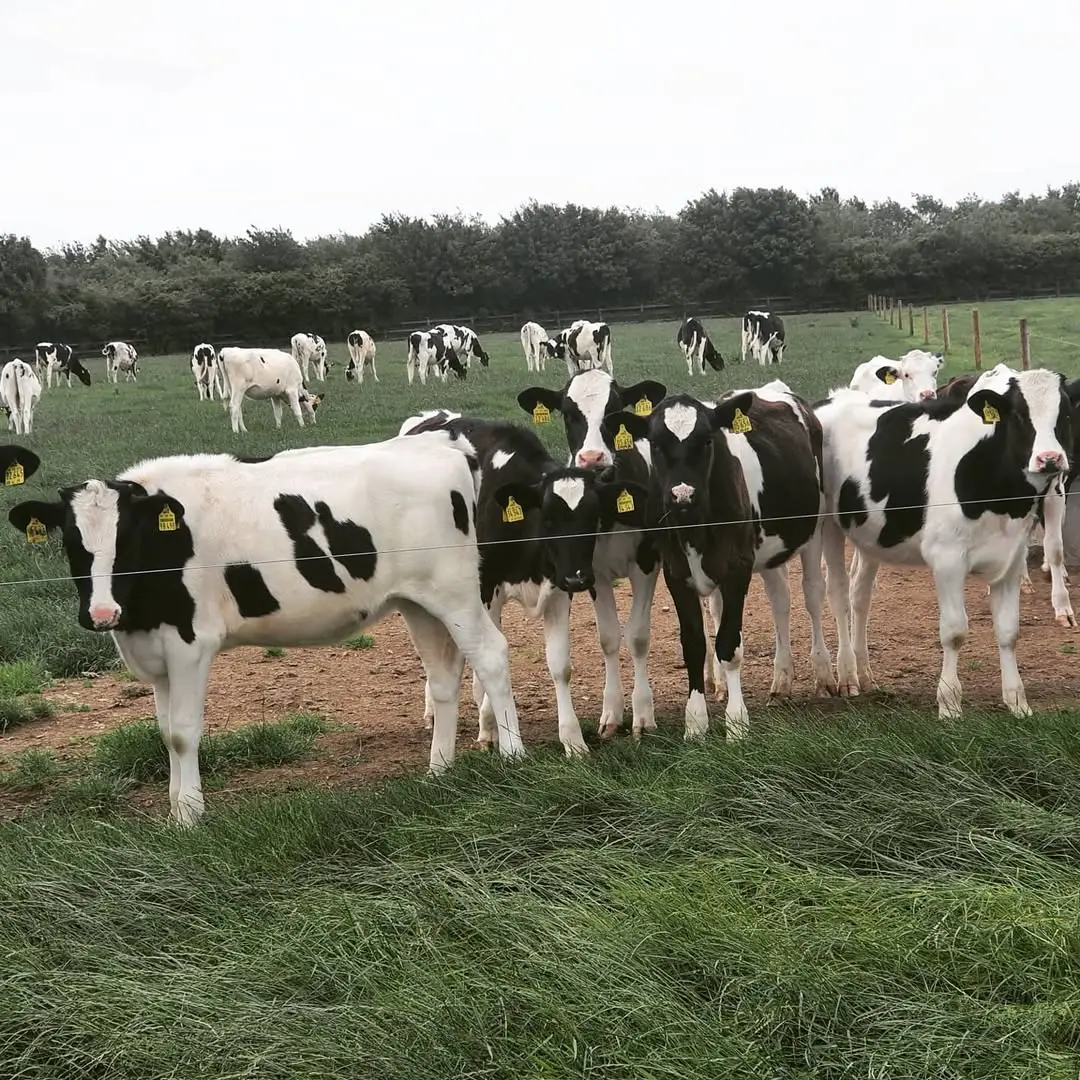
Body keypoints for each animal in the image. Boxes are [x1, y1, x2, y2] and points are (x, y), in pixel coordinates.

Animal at [6, 437, 527, 824]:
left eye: (128, 538)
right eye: (72, 541)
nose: (101, 612)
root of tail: (440, 445)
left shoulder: (189, 644)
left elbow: (183, 732)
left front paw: (189, 815)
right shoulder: (155, 653)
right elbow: (164, 731)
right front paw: (175, 807)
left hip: (456, 592)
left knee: (491, 655)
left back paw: (513, 756)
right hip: (416, 602)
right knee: (442, 678)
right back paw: (438, 771)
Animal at [399, 408, 652, 754]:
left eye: (593, 518)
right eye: (548, 518)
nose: (579, 578)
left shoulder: (558, 589)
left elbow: (560, 665)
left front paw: (573, 740)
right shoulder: (486, 591)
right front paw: (490, 728)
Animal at [608, 380, 834, 734]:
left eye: (707, 440)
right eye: (655, 444)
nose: (682, 495)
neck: (693, 528)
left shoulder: (737, 569)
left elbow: (728, 644)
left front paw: (736, 723)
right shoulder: (676, 573)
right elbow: (693, 644)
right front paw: (695, 722)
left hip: (815, 527)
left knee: (812, 595)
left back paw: (823, 674)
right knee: (780, 601)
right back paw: (781, 679)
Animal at [816, 364, 1074, 717]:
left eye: (1065, 413)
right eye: (1019, 414)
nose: (1049, 458)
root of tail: (831, 399)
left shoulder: (1010, 559)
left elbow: (1009, 631)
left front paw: (1017, 701)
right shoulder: (947, 559)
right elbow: (954, 632)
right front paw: (950, 703)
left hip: (870, 535)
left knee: (860, 594)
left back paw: (865, 672)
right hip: (827, 524)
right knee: (838, 593)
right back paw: (847, 675)